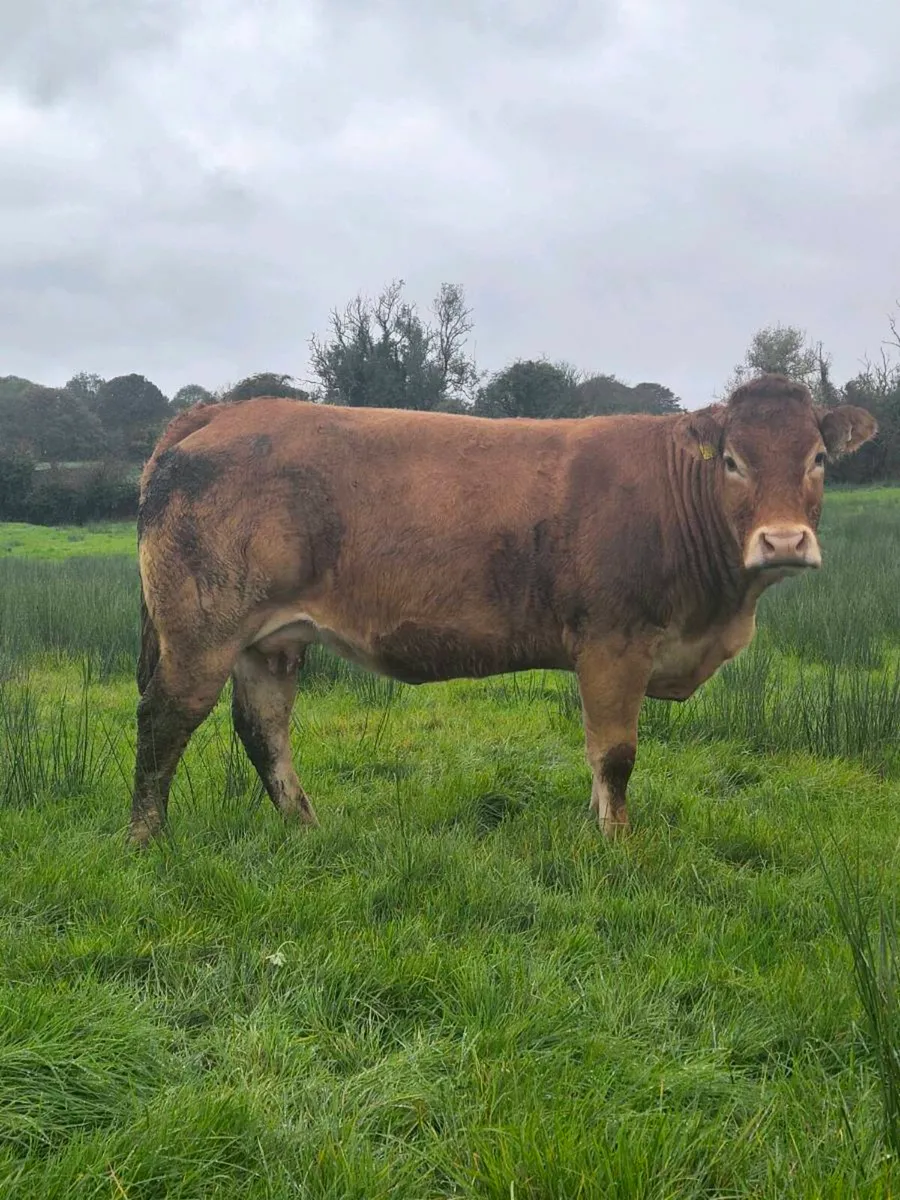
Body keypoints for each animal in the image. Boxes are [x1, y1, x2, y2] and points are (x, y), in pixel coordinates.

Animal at [130, 373, 876, 847]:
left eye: (817, 458)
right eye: (731, 460)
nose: (784, 541)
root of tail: (227, 410)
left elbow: (597, 755)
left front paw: (596, 826)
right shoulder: (614, 642)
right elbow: (615, 753)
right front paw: (618, 845)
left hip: (272, 641)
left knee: (263, 730)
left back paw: (307, 829)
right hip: (201, 630)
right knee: (165, 718)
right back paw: (146, 839)